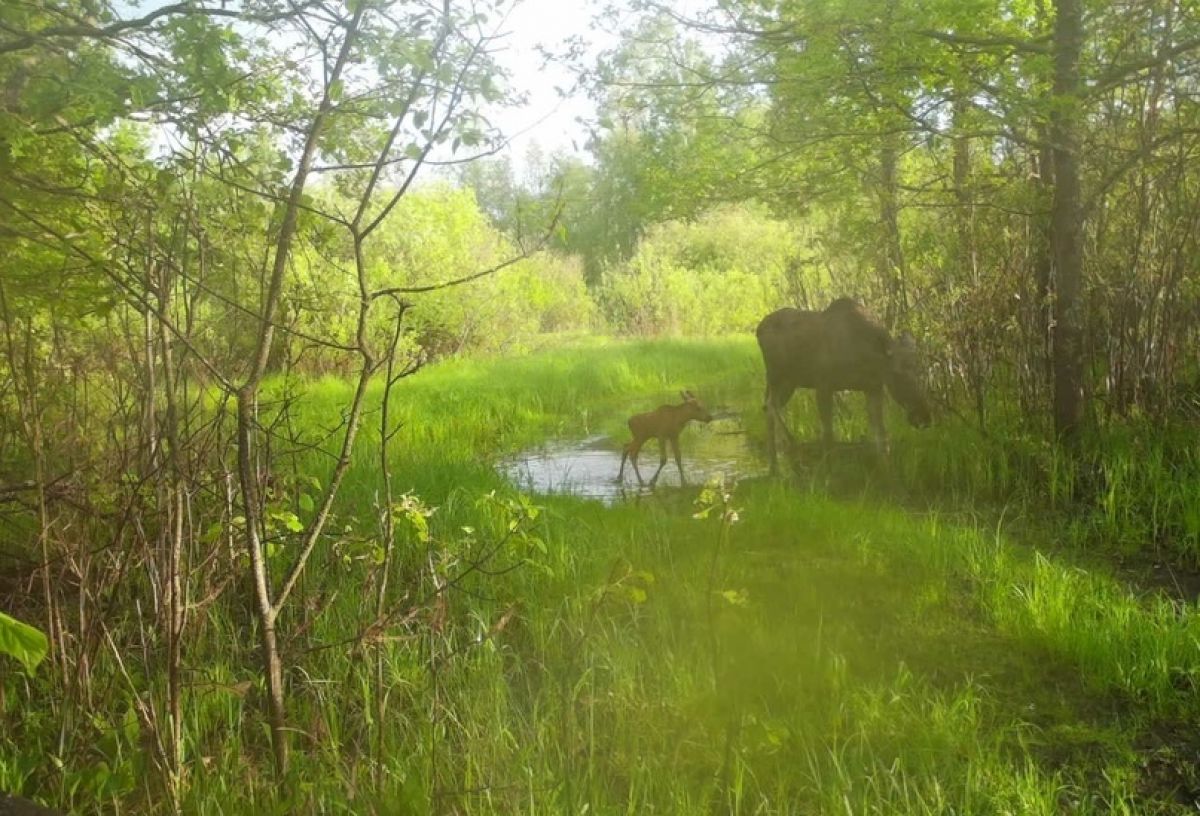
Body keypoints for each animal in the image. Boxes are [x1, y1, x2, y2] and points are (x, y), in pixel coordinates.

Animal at [753, 297, 931, 472]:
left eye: (919, 369)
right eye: (896, 373)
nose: (923, 417)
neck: (867, 360)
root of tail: (758, 330)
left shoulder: (873, 388)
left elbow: (881, 436)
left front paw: (887, 470)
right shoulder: (823, 385)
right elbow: (828, 435)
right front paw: (829, 471)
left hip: (790, 382)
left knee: (769, 407)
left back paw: (777, 461)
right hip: (777, 375)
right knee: (771, 406)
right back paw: (792, 450)